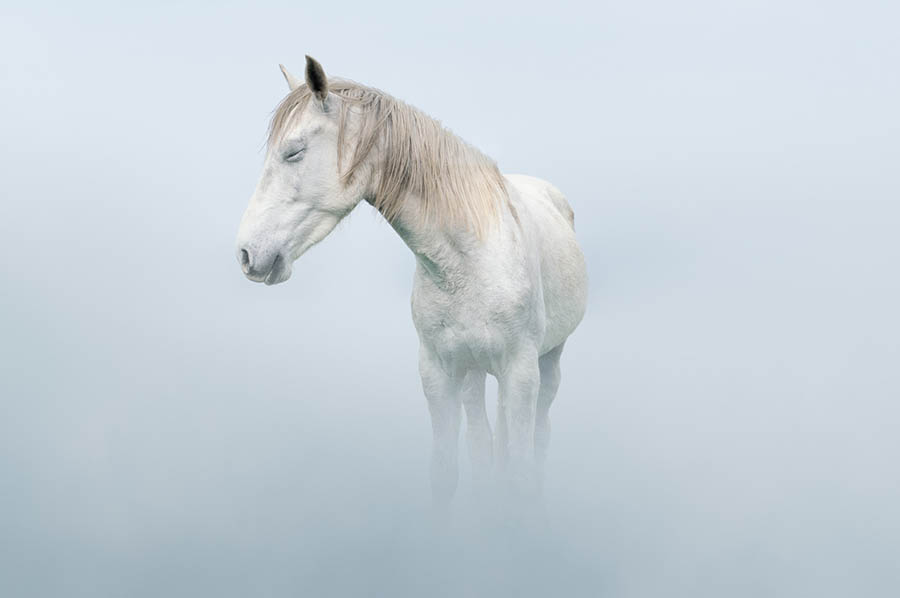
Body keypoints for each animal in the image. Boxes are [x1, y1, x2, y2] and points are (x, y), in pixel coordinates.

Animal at [237, 57, 592, 506]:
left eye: (294, 151)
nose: (247, 254)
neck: (470, 261)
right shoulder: (437, 372)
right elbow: (446, 471)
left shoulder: (521, 372)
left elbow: (521, 473)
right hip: (472, 373)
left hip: (548, 363)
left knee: (538, 438)